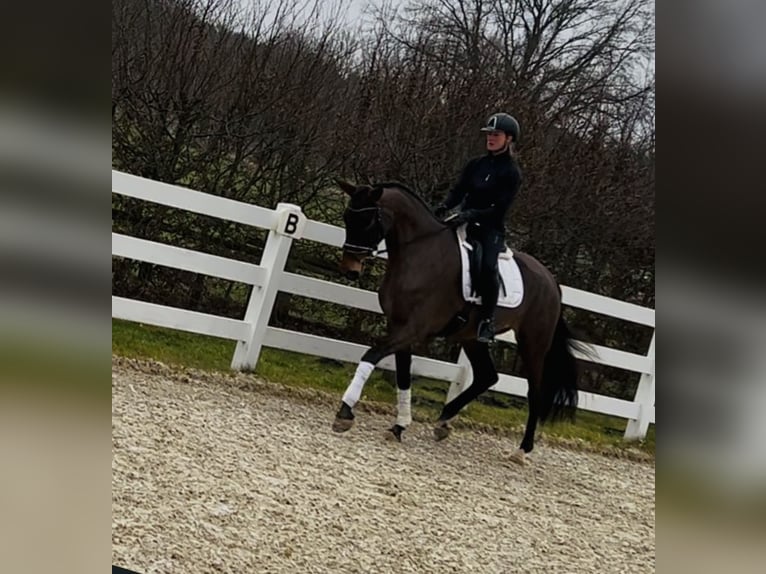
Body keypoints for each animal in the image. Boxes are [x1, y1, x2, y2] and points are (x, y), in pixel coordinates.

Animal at [332, 180, 584, 468]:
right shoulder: (399, 328)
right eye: (347, 217)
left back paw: (521, 450)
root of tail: (552, 282)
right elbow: (403, 377)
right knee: (487, 376)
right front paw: (399, 426)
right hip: (471, 337)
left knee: (535, 392)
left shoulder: (413, 330)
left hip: (533, 343)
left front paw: (345, 413)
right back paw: (443, 421)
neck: (420, 253)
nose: (350, 269)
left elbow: (371, 356)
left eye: (367, 221)